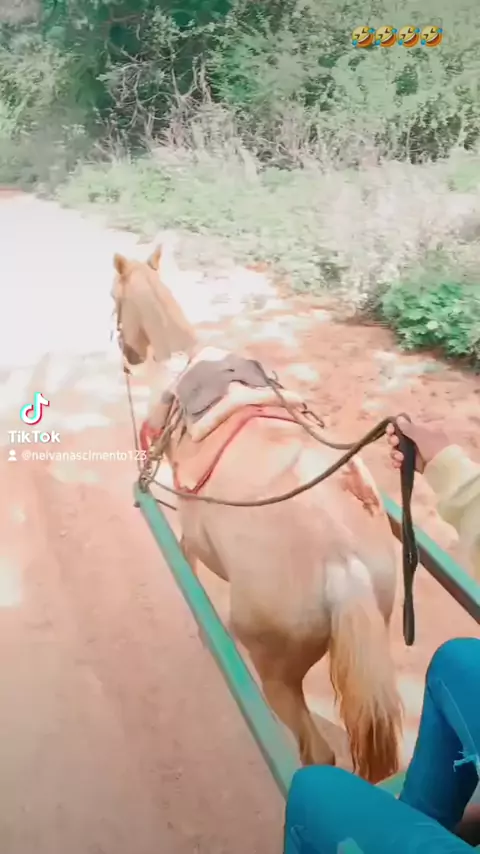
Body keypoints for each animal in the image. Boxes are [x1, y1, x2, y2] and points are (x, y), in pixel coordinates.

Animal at [112, 243, 403, 783]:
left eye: (113, 298)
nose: (127, 354)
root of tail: (342, 564)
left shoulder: (191, 521)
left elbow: (188, 555)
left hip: (275, 669)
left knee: (315, 752)